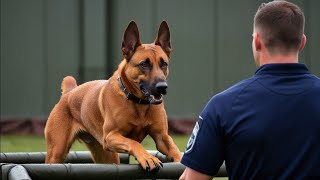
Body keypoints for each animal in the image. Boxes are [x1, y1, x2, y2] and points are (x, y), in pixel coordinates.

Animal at [44, 20, 181, 170]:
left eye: (164, 64)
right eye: (144, 64)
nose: (162, 87)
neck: (137, 102)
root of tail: (69, 93)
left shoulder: (162, 137)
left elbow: (175, 151)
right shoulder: (110, 137)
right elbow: (133, 142)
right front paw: (147, 157)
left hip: (106, 155)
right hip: (57, 152)